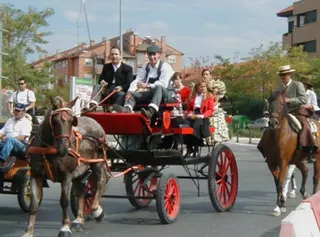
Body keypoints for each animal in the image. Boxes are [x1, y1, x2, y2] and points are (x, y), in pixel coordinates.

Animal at [21, 96, 109, 237]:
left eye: (72, 121)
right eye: (55, 121)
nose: (63, 149)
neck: (49, 148)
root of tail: (95, 122)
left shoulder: (66, 175)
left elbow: (64, 201)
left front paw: (65, 227)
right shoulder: (36, 175)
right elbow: (34, 204)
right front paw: (28, 231)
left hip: (97, 161)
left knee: (99, 183)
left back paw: (96, 210)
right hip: (79, 169)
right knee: (81, 190)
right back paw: (79, 219)